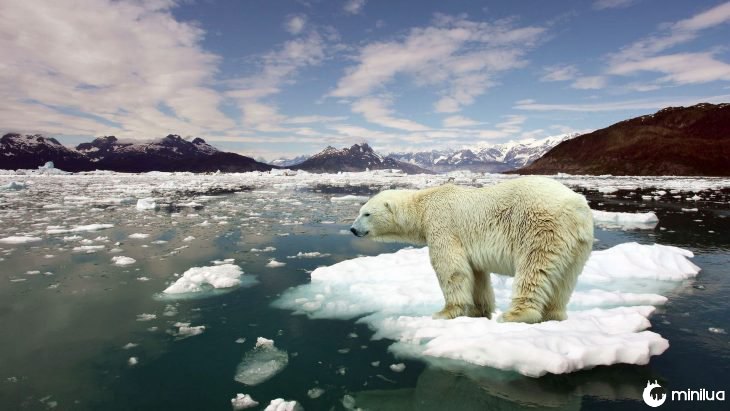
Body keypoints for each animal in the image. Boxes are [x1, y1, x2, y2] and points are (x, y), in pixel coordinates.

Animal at [349, 176, 594, 323]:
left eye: (366, 214)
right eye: (360, 211)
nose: (352, 229)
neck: (423, 206)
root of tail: (577, 207)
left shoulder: (443, 225)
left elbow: (451, 268)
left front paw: (444, 312)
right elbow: (476, 275)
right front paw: (479, 311)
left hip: (540, 228)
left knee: (534, 269)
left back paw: (515, 315)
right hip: (577, 245)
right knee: (565, 279)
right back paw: (554, 315)